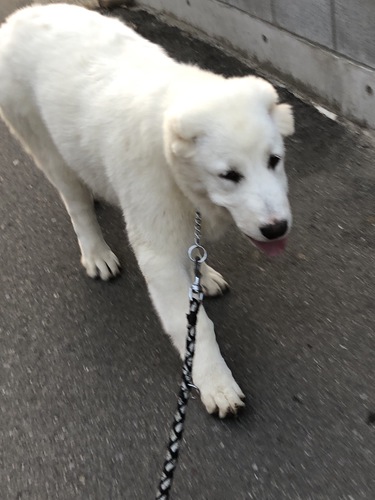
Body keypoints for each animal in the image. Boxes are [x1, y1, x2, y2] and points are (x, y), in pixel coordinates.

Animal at [0, 4, 294, 418]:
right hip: (42, 140)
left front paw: (204, 274)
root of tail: (21, 15)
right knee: (75, 202)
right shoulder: (156, 243)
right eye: (229, 175)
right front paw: (216, 382)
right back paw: (96, 252)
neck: (176, 167)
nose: (276, 228)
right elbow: (195, 326)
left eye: (274, 161)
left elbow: (193, 254)